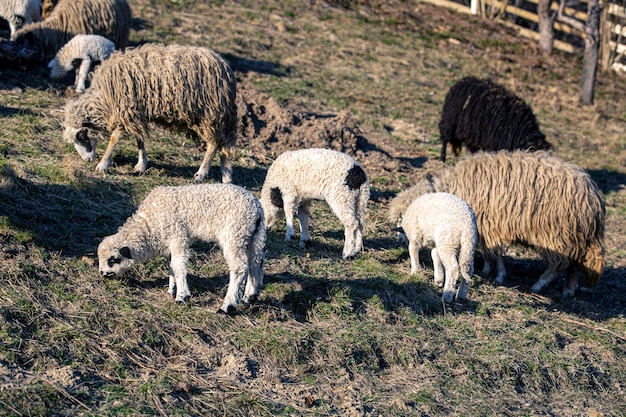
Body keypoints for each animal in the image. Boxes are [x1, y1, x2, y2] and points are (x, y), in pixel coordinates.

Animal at [62, 41, 236, 182]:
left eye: (81, 136)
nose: (87, 160)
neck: (104, 98)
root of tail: (225, 66)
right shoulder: (136, 112)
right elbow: (139, 139)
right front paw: (141, 165)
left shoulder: (126, 109)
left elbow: (114, 138)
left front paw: (102, 165)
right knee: (224, 143)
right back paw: (226, 176)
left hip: (208, 113)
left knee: (214, 143)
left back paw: (201, 174)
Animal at [97, 182, 266, 312]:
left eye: (113, 259)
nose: (102, 273)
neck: (150, 225)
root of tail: (256, 208)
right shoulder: (170, 244)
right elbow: (171, 266)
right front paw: (171, 290)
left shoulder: (178, 238)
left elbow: (179, 267)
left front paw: (181, 296)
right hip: (253, 236)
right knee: (256, 263)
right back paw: (250, 297)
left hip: (234, 234)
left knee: (239, 268)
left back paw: (227, 306)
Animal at [388, 150, 604, 296]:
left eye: (403, 219)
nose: (400, 240)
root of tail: (594, 197)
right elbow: (489, 250)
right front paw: (488, 268)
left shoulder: (489, 224)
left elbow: (495, 251)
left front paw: (498, 273)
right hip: (575, 236)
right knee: (574, 264)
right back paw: (569, 290)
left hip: (558, 235)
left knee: (558, 265)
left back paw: (539, 284)